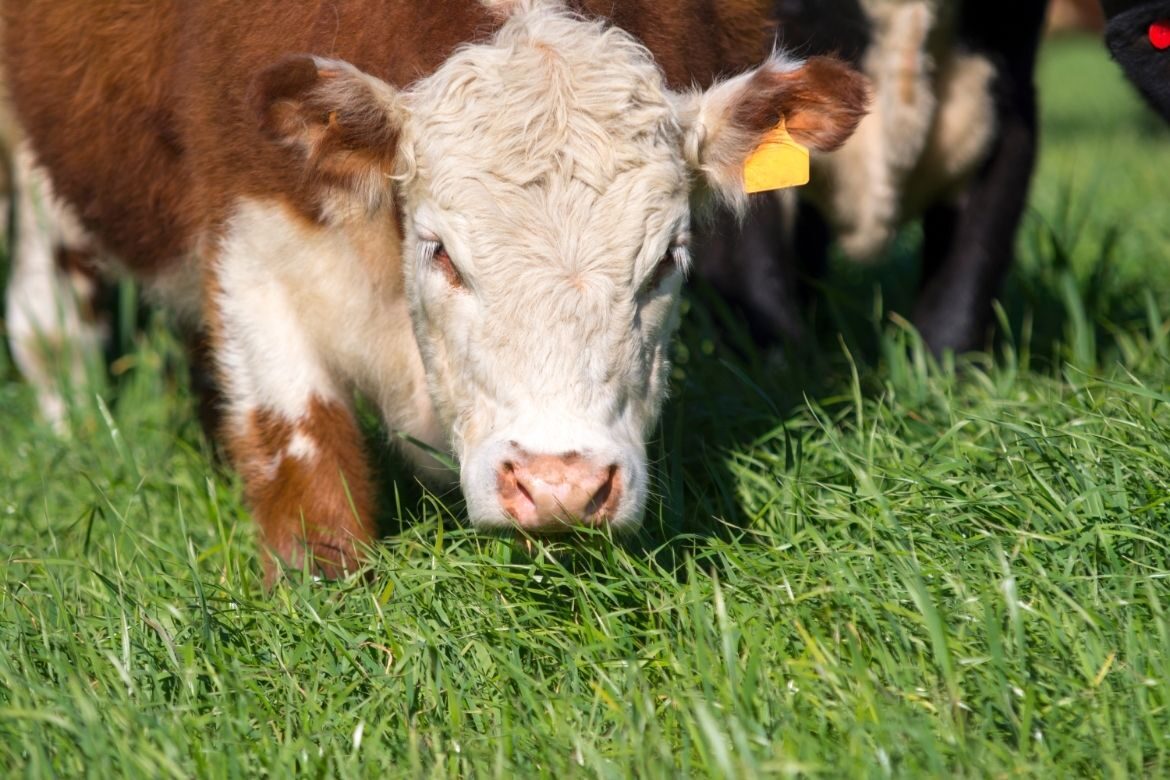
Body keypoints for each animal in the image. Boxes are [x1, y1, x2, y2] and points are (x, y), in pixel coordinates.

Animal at [2, 1, 870, 580]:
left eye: (666, 260)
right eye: (441, 252)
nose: (560, 484)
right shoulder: (254, 242)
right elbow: (307, 479)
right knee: (51, 326)